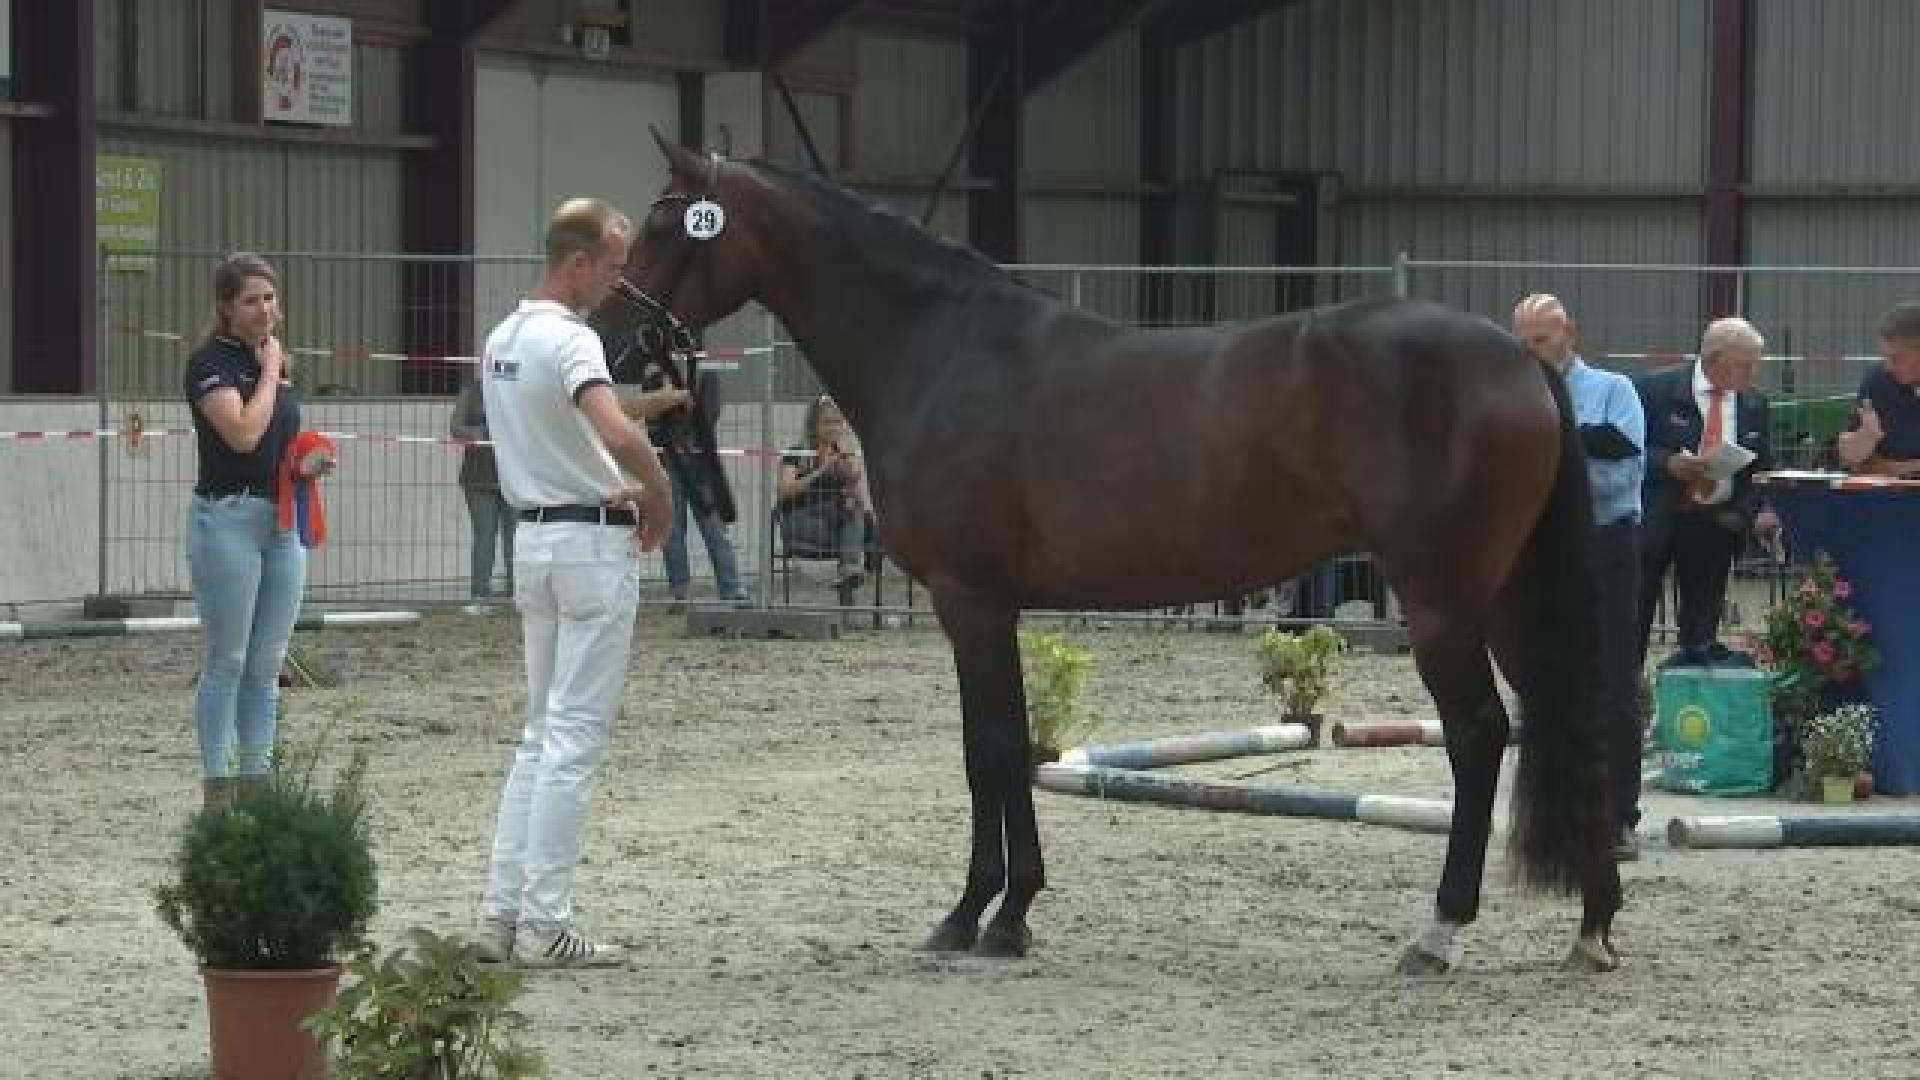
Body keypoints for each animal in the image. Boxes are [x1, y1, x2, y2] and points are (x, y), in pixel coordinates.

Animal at [600, 130, 1621, 974]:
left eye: (661, 222)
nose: (609, 342)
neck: (944, 351)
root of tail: (1521, 358)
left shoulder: (969, 600)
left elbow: (991, 746)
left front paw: (977, 914)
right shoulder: (993, 606)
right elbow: (1006, 746)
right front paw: (1007, 913)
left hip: (1441, 600)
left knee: (1481, 735)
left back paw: (1439, 932)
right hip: (1506, 599)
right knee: (1565, 719)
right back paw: (1594, 923)